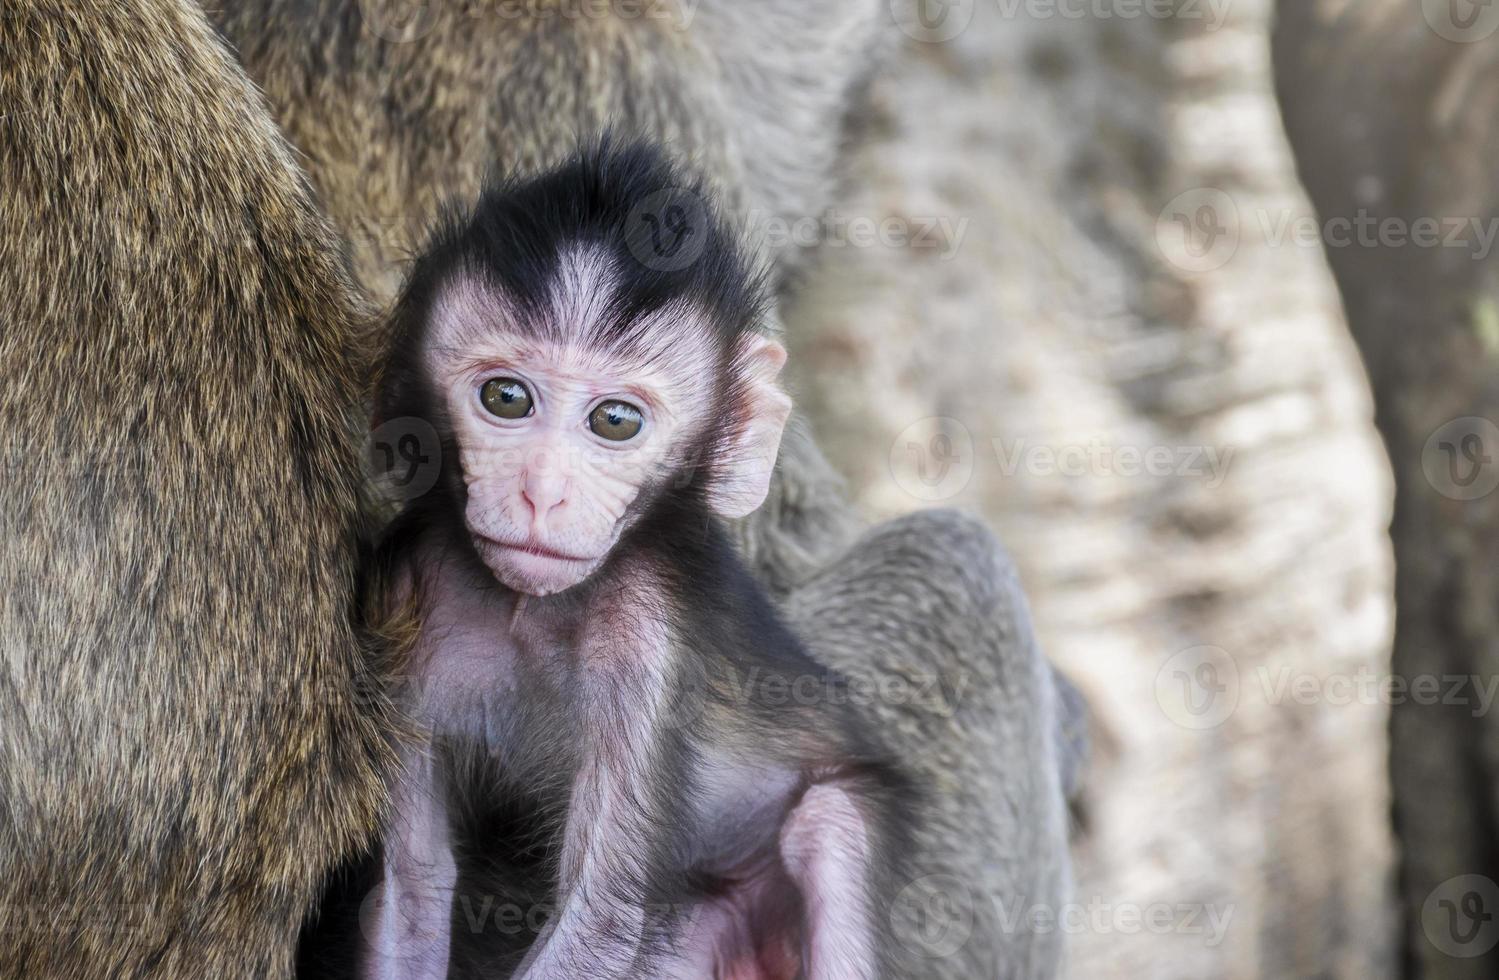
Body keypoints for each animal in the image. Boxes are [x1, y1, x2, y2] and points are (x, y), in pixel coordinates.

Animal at [370, 146, 911, 980]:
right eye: (505, 398)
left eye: (615, 421)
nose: (542, 493)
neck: (529, 607)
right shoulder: (406, 592)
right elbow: (413, 886)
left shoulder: (647, 638)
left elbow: (603, 919)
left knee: (828, 826)